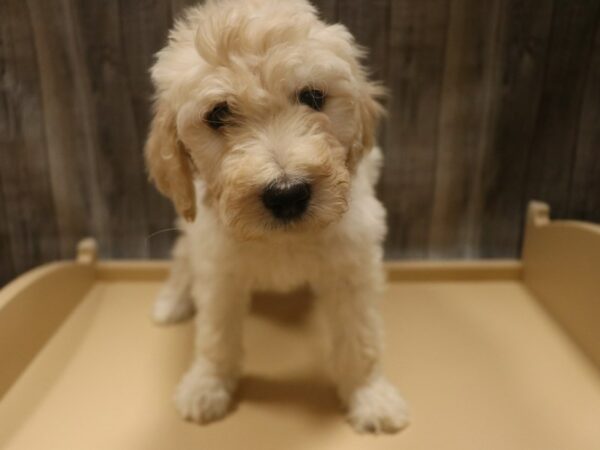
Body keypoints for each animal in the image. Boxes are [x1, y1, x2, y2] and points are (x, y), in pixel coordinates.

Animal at [144, 0, 410, 434]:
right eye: (218, 114)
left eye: (313, 96)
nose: (287, 194)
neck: (284, 238)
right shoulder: (218, 266)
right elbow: (216, 335)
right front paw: (207, 385)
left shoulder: (353, 264)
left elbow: (361, 337)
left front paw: (370, 395)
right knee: (182, 253)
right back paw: (172, 300)